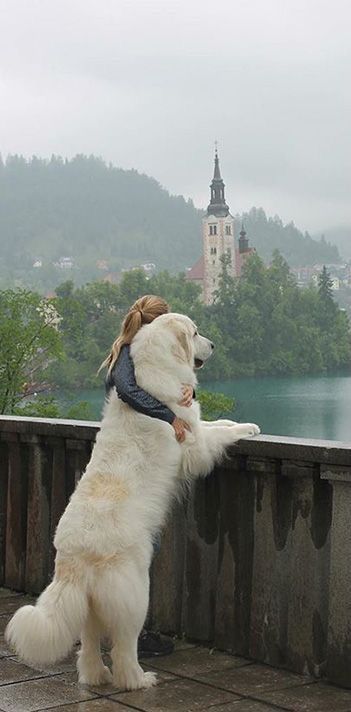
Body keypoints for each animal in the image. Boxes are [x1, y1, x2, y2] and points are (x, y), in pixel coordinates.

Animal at [4, 312, 260, 688]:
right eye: (196, 332)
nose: (213, 345)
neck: (156, 370)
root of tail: (73, 553)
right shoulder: (195, 444)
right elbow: (217, 434)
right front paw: (248, 427)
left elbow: (217, 422)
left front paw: (242, 422)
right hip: (135, 592)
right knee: (124, 647)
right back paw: (139, 680)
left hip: (90, 605)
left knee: (89, 646)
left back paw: (96, 677)